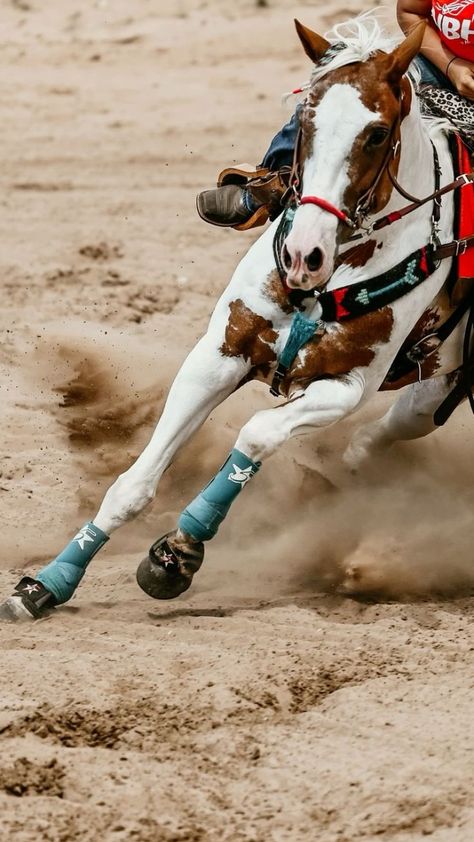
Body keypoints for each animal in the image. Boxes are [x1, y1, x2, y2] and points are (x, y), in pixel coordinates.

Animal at [1, 11, 472, 616]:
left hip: (437, 384)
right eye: (305, 119)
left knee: (385, 431)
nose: (302, 255)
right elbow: (134, 483)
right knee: (377, 439)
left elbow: (256, 434)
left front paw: (178, 552)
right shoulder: (219, 353)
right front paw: (48, 583)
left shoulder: (345, 387)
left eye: (376, 133)